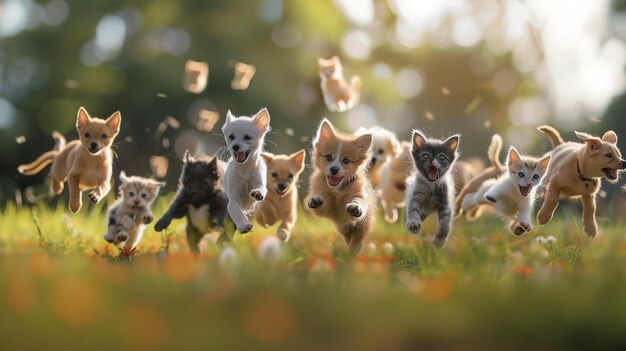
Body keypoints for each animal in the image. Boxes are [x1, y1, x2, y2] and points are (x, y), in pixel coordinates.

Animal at [304, 118, 372, 256]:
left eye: (346, 161)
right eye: (328, 157)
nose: (334, 169)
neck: (337, 190)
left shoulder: (357, 196)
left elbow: (358, 201)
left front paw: (356, 207)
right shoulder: (326, 207)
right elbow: (320, 204)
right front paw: (315, 200)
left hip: (360, 230)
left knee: (356, 242)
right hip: (342, 229)